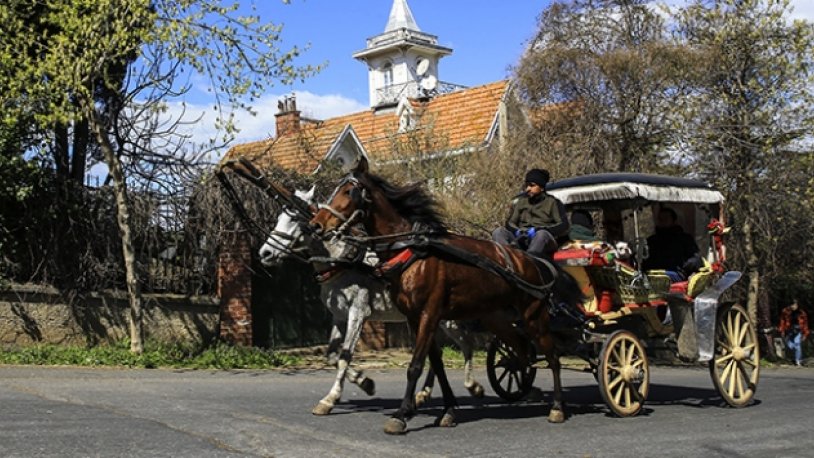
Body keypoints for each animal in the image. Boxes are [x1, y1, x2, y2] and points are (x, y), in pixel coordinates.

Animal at [258, 186, 484, 416]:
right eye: (279, 218)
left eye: (295, 219)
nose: (265, 253)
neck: (343, 261)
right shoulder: (339, 316)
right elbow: (332, 356)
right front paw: (365, 382)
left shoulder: (358, 313)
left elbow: (344, 356)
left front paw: (330, 398)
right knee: (436, 352)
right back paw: (424, 393)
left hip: (447, 319)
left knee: (466, 343)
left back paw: (473, 386)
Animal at [310, 159, 584, 434]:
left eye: (348, 192)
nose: (316, 225)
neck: (412, 251)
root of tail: (532, 260)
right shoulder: (414, 318)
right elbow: (437, 363)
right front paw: (448, 410)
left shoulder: (429, 314)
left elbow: (416, 365)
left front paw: (402, 414)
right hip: (496, 318)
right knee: (521, 350)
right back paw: (526, 387)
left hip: (534, 315)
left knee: (551, 356)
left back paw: (557, 406)